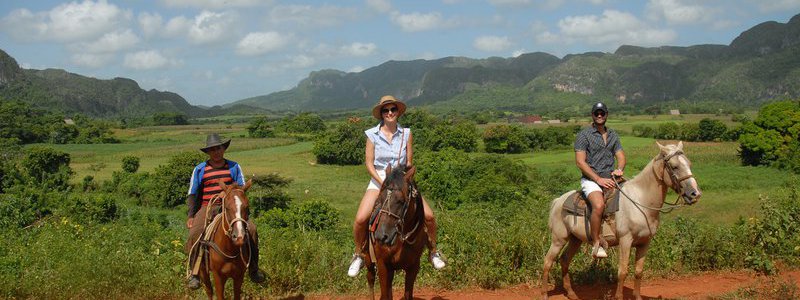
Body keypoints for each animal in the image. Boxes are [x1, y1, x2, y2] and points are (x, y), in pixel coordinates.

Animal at [368, 165, 432, 298]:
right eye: (379, 199)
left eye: (401, 201)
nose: (381, 236)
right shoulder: (382, 265)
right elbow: (385, 295)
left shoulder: (413, 267)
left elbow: (407, 294)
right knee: (370, 279)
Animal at [540, 141, 704, 300]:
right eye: (675, 166)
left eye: (689, 164)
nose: (695, 194)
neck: (640, 202)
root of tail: (558, 201)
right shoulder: (625, 241)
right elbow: (623, 272)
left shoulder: (645, 243)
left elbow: (638, 271)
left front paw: (637, 297)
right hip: (558, 239)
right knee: (547, 262)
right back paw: (544, 294)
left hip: (575, 240)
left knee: (564, 260)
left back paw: (571, 293)